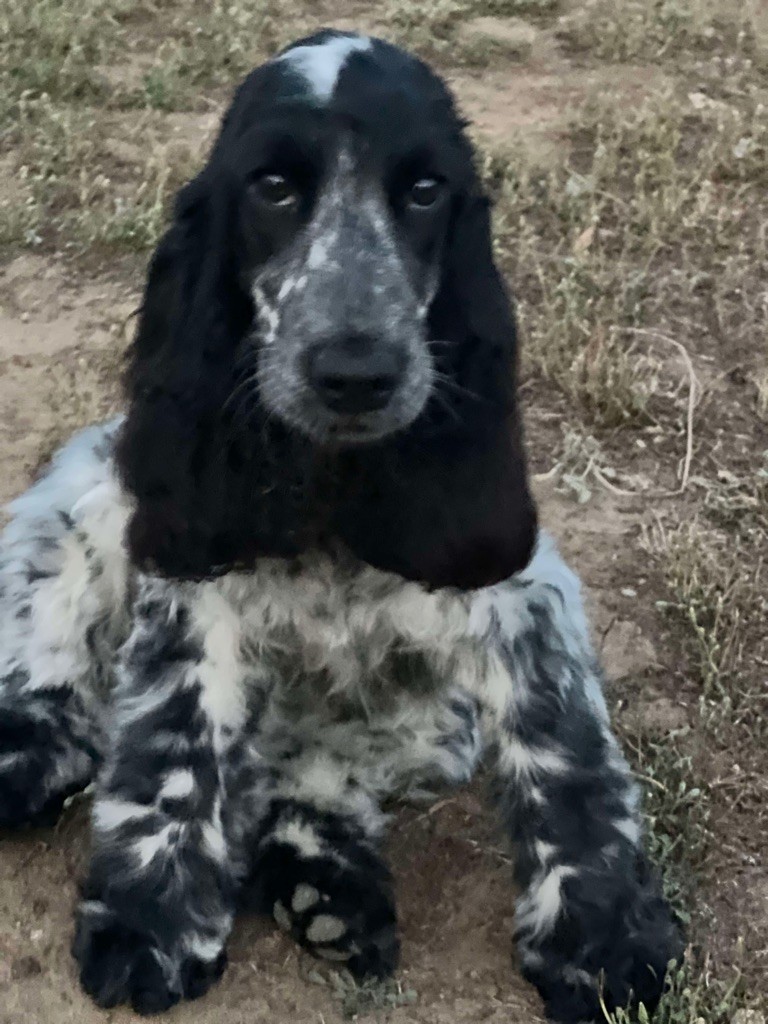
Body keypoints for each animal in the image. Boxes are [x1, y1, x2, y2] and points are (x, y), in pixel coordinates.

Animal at [0, 29, 681, 1021]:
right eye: (274, 187)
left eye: (426, 190)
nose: (356, 372)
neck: (332, 486)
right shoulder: (190, 592)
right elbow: (173, 753)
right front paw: (148, 923)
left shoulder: (524, 595)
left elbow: (569, 761)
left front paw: (602, 942)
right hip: (84, 491)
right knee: (53, 652)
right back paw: (24, 757)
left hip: (425, 727)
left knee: (314, 779)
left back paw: (327, 894)